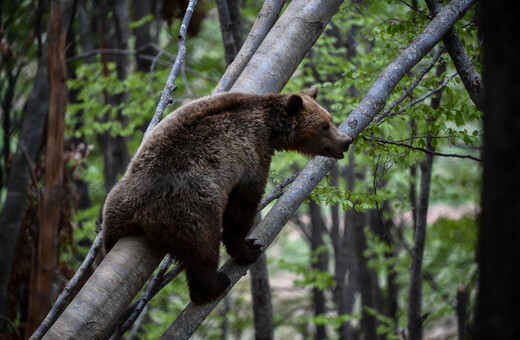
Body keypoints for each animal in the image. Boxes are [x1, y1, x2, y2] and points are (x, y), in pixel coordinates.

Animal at [102, 86, 350, 304]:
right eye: (324, 125)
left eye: (330, 119)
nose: (346, 141)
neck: (271, 129)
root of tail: (140, 212)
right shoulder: (251, 153)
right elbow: (243, 205)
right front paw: (248, 247)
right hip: (190, 209)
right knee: (203, 249)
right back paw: (214, 283)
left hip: (115, 209)